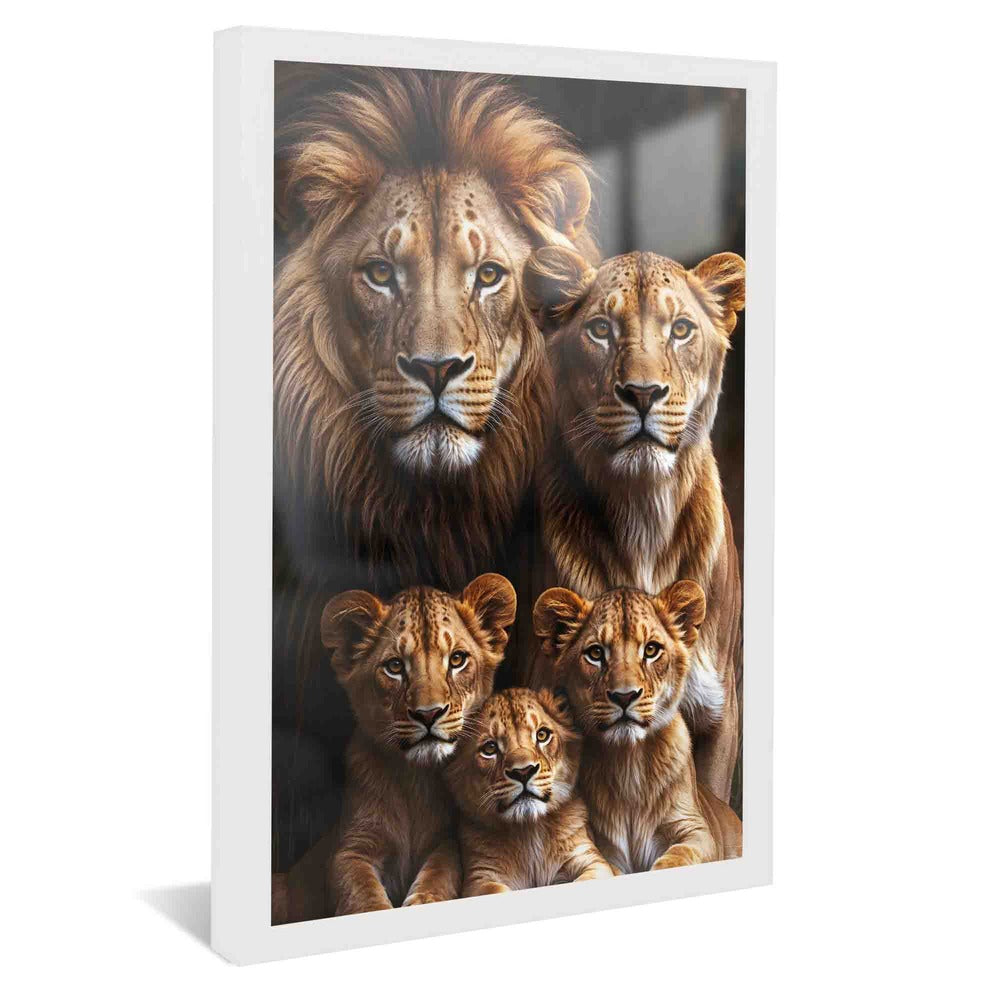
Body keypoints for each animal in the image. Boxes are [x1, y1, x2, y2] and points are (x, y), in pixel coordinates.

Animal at [446, 688, 613, 895]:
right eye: (490, 748)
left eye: (542, 735)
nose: (523, 772)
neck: (528, 831)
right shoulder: (479, 878)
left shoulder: (590, 860)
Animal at [533, 583, 741, 873]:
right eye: (595, 653)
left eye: (652, 650)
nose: (624, 696)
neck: (629, 762)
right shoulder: (599, 847)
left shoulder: (696, 830)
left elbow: (681, 854)